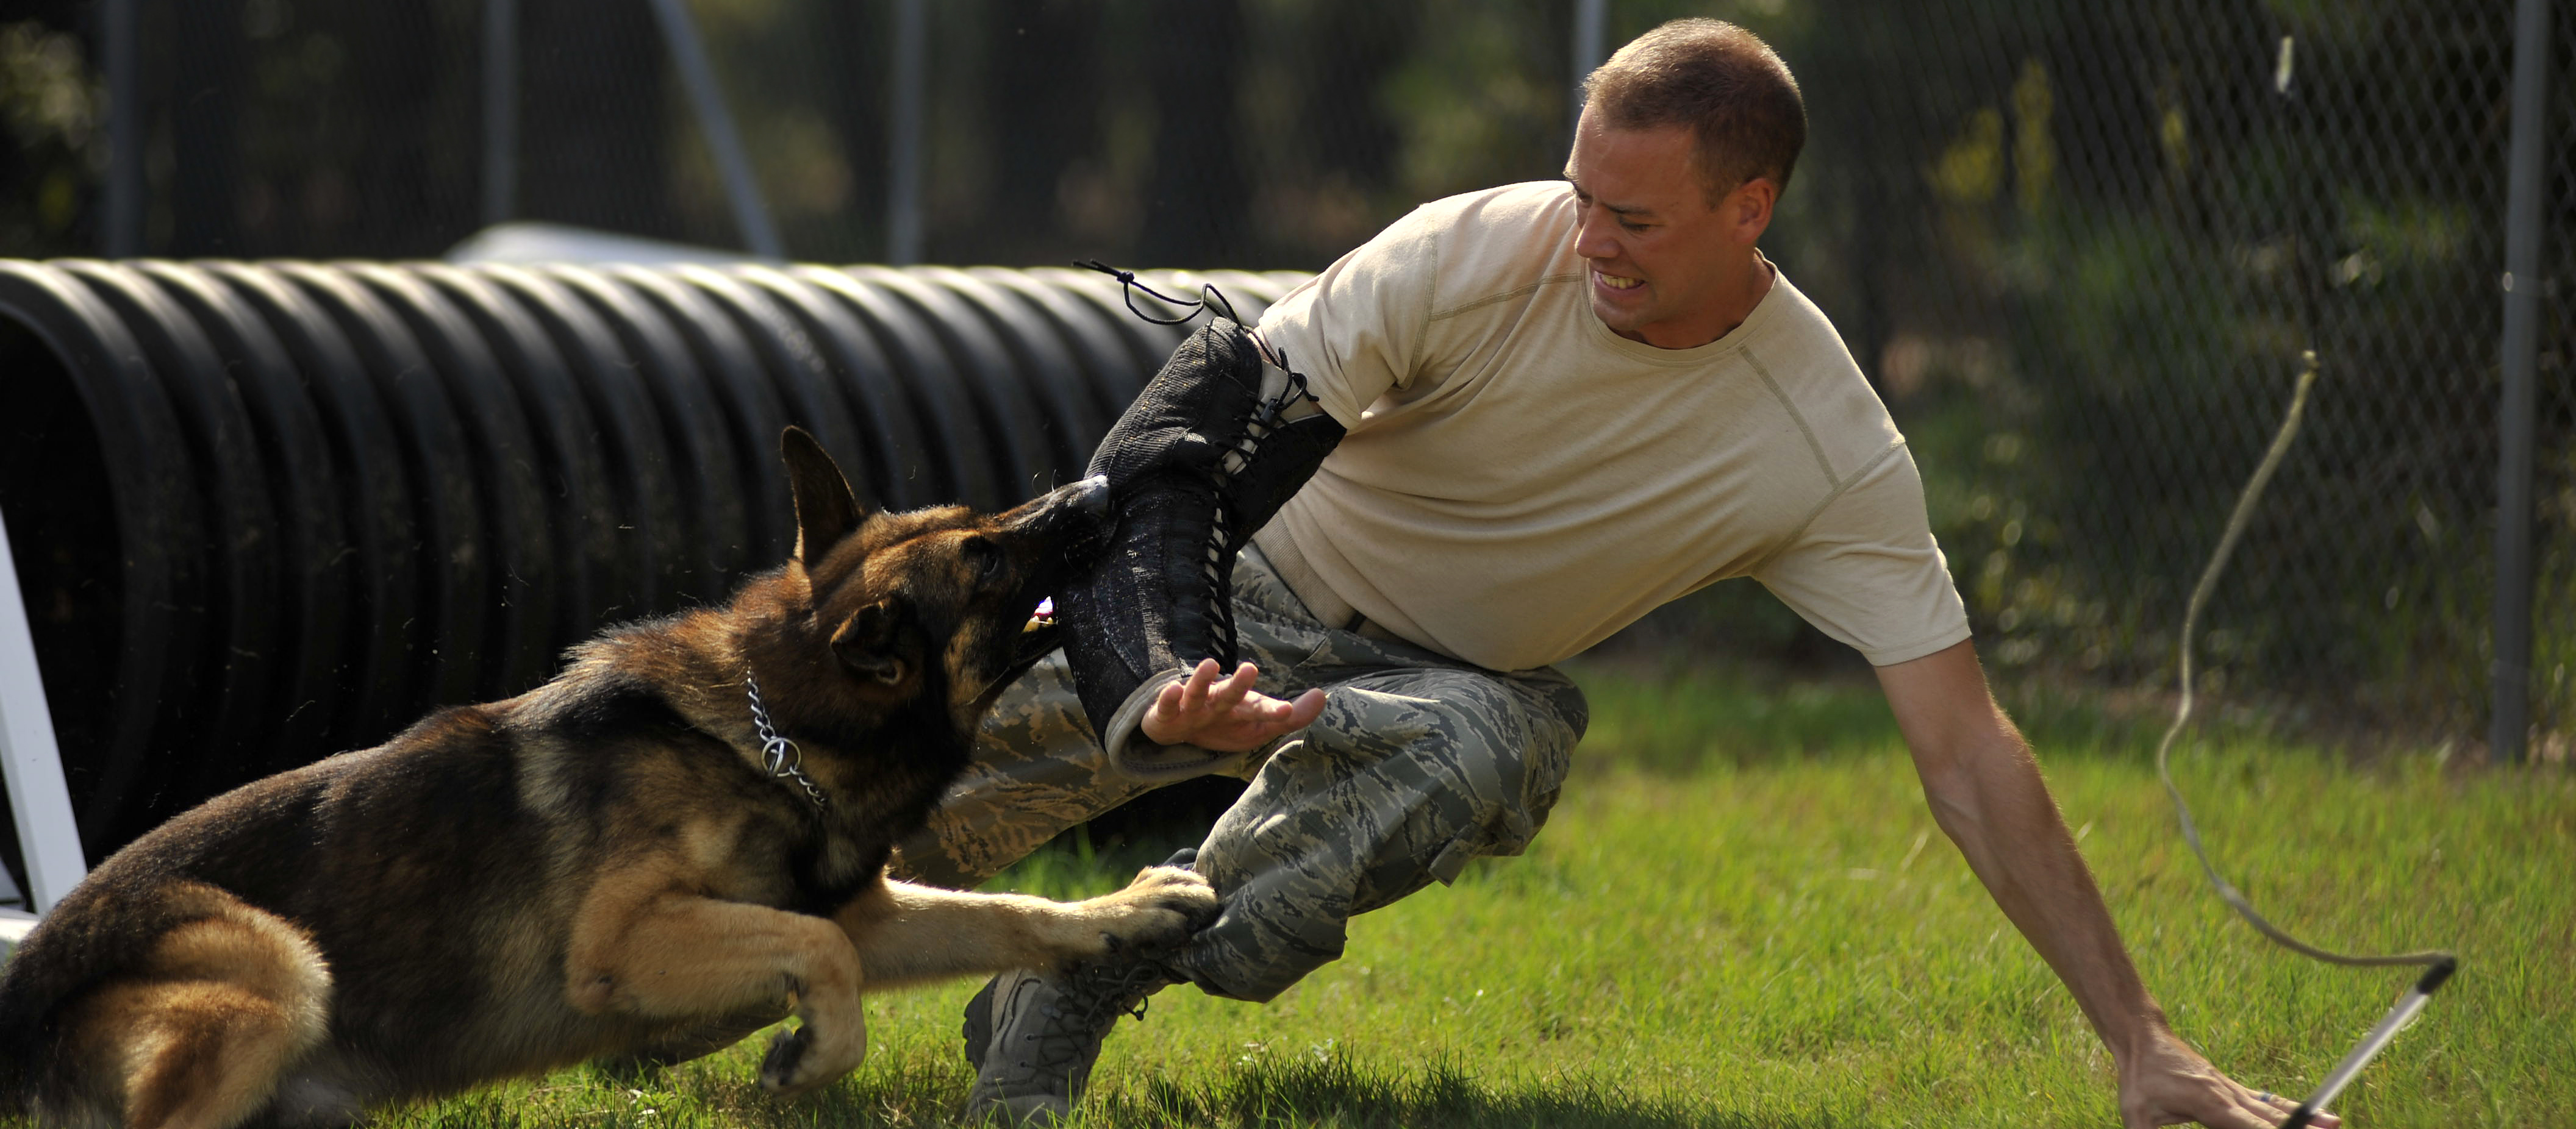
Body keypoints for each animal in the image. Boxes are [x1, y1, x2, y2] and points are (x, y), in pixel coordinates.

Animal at [0, 430, 1215, 1129]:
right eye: (986, 559)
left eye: (976, 521)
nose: (1099, 486)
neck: (770, 739)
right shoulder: (628, 935)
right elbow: (818, 956)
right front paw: (805, 1056)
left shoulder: (862, 910)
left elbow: (1006, 913)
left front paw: (1129, 908)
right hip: (277, 965)